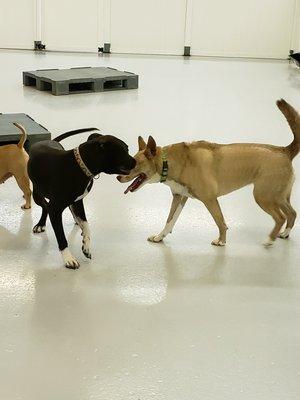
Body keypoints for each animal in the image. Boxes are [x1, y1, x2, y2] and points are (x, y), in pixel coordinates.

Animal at [28, 128, 136, 268]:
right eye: (123, 151)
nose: (136, 161)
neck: (79, 166)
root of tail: (49, 140)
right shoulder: (55, 209)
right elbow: (61, 237)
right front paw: (68, 258)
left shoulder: (78, 202)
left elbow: (86, 225)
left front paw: (86, 246)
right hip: (37, 195)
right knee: (45, 206)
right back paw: (40, 224)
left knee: (69, 210)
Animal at [118, 99, 298, 247]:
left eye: (134, 164)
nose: (118, 177)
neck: (168, 162)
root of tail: (284, 150)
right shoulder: (179, 197)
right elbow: (169, 220)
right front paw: (159, 237)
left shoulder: (210, 199)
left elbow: (220, 221)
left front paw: (222, 241)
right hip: (278, 196)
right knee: (292, 213)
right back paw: (284, 233)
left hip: (263, 197)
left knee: (280, 217)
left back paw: (270, 239)